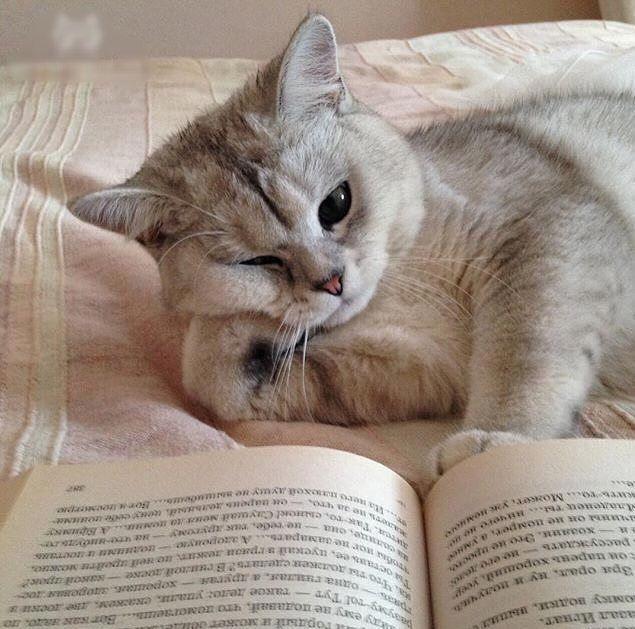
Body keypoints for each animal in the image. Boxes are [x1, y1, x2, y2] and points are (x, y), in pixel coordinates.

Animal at [70, 15, 635, 489]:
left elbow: (526, 351)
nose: (332, 281)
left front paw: (503, 446)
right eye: (256, 262)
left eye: (335, 204)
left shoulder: (551, 229)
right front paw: (247, 333)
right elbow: (216, 374)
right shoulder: (420, 365)